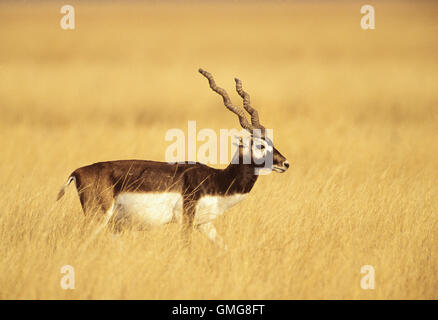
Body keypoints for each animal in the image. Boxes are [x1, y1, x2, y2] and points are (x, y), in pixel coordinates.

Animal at [57, 69, 290, 249]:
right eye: (260, 145)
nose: (285, 163)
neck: (217, 181)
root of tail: (78, 172)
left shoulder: (204, 224)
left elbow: (224, 247)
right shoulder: (187, 219)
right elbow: (186, 246)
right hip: (98, 218)